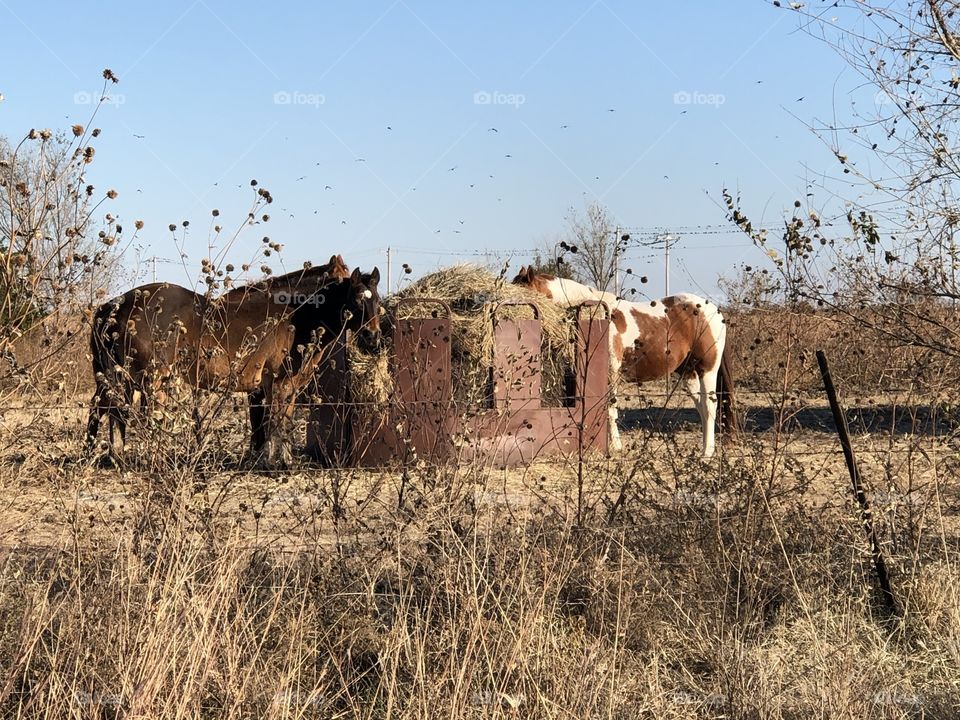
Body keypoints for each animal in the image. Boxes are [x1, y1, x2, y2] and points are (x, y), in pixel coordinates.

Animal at [86, 256, 378, 470]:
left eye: (376, 300)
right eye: (354, 298)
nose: (372, 339)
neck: (294, 315)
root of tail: (113, 306)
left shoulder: (270, 388)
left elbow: (270, 423)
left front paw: (272, 459)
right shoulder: (280, 383)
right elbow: (277, 422)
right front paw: (276, 463)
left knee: (109, 412)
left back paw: (112, 456)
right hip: (152, 381)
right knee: (141, 418)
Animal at [516, 268, 736, 458]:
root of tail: (715, 311)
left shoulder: (611, 373)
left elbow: (610, 408)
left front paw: (616, 446)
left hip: (707, 370)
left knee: (710, 405)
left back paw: (707, 452)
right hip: (688, 373)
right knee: (701, 408)